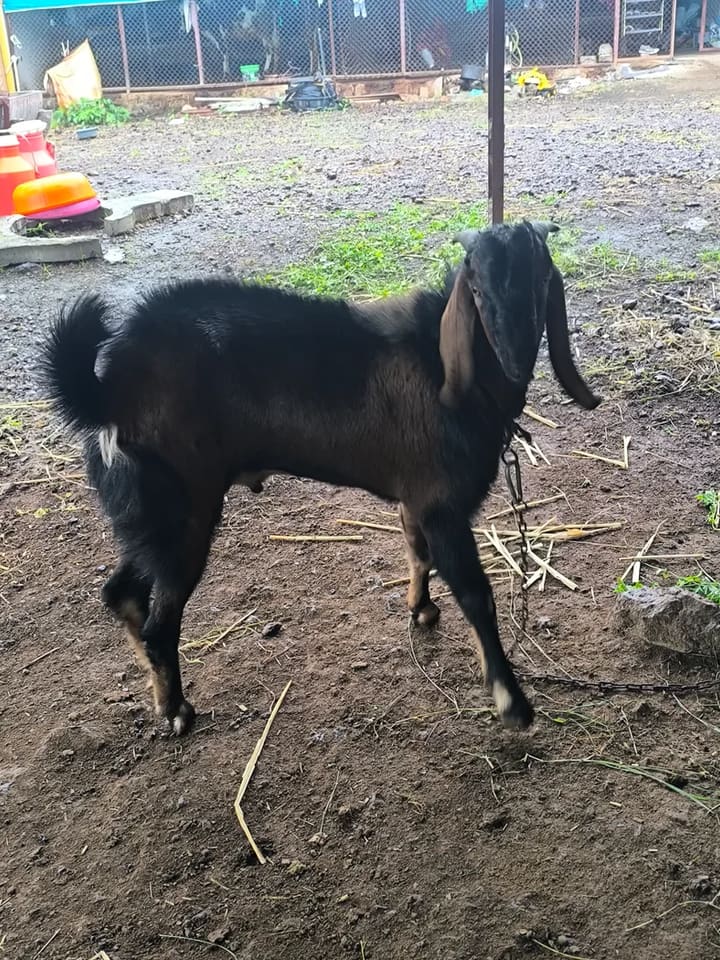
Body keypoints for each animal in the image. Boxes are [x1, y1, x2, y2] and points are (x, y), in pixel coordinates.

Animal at [41, 221, 599, 736]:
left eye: (542, 279)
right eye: (477, 289)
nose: (515, 359)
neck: (444, 369)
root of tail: (107, 389)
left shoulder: (414, 499)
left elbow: (417, 553)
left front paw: (420, 609)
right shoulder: (441, 504)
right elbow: (475, 594)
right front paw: (512, 702)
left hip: (148, 510)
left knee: (121, 591)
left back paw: (159, 692)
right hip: (183, 510)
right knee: (160, 619)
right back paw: (178, 709)